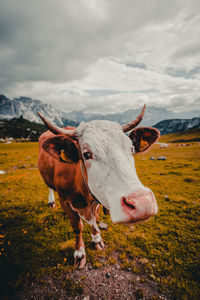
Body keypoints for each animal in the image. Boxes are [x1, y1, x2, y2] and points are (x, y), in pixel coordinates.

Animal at [37, 105, 159, 268]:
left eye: (132, 149)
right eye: (86, 154)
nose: (142, 203)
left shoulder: (98, 198)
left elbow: (94, 219)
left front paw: (96, 239)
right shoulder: (65, 202)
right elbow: (77, 227)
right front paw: (79, 252)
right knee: (49, 187)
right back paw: (51, 202)